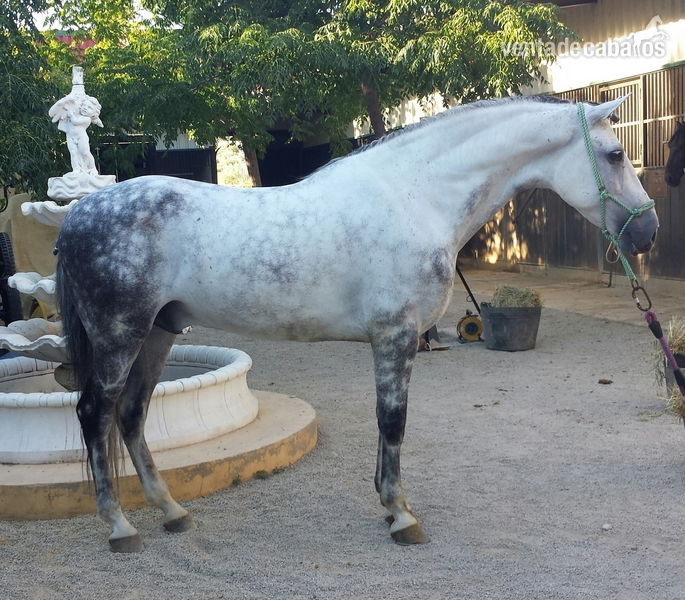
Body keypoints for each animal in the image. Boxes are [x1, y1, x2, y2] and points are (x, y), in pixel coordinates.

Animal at [55, 95, 658, 553]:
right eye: (614, 153)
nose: (647, 231)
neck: (416, 195)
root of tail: (79, 213)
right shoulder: (395, 335)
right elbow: (393, 421)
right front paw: (400, 515)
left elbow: (387, 423)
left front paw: (391, 505)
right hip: (120, 335)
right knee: (94, 413)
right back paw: (120, 527)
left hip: (157, 333)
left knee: (132, 415)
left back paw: (172, 511)